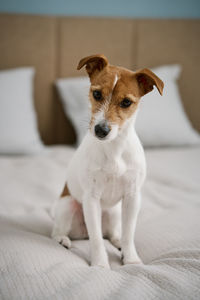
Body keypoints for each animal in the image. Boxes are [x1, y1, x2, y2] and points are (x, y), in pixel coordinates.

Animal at [50, 53, 163, 268]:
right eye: (96, 94)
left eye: (126, 102)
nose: (101, 130)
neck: (114, 148)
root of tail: (81, 234)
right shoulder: (91, 199)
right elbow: (96, 239)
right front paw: (100, 264)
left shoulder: (132, 197)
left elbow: (129, 234)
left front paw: (131, 259)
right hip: (68, 206)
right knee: (60, 232)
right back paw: (63, 239)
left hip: (114, 212)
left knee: (111, 234)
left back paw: (117, 242)